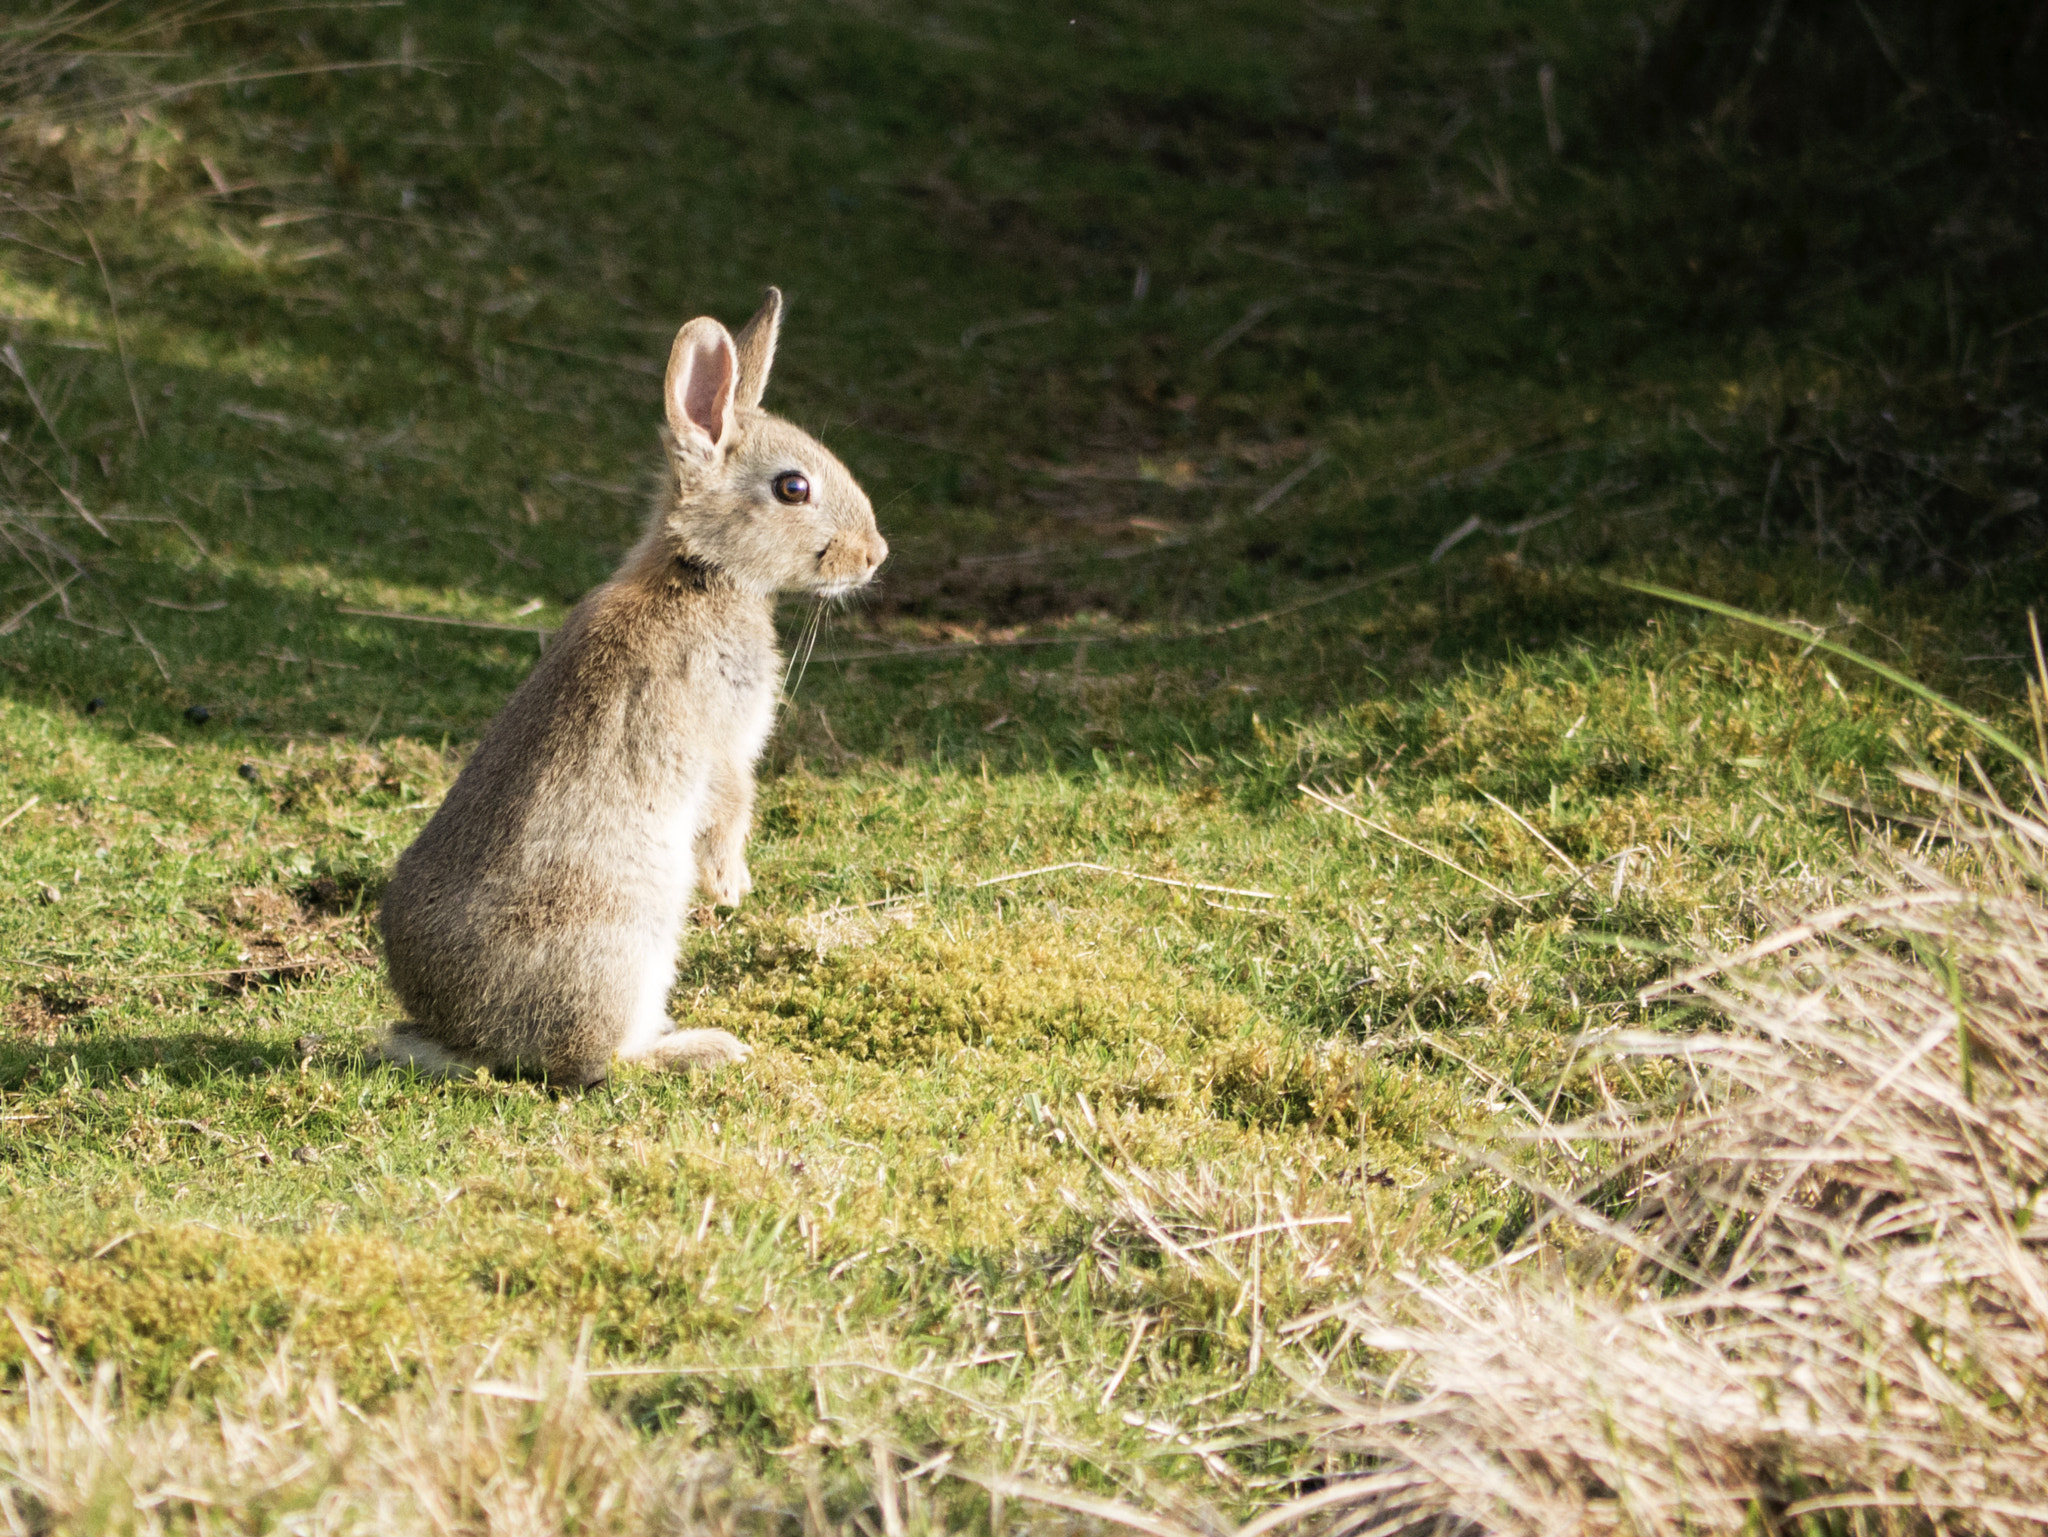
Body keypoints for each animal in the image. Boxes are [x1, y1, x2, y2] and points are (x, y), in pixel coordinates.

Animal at [376, 286, 888, 1082]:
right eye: (793, 487)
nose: (876, 555)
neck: (701, 572)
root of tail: (469, 1036)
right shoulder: (719, 738)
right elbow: (731, 801)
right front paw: (732, 886)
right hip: (629, 932)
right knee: (599, 1062)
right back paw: (706, 1046)